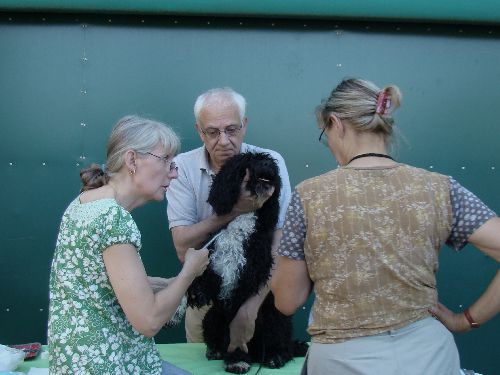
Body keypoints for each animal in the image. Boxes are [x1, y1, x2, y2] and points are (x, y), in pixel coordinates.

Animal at [187, 152, 306, 374]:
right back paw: (216, 350)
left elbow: (238, 332)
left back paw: (275, 355)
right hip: (212, 317)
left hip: (274, 317)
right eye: (250, 160)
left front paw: (237, 359)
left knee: (282, 344)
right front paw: (197, 290)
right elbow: (206, 276)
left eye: (267, 160)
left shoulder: (248, 283)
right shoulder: (217, 264)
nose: (267, 163)